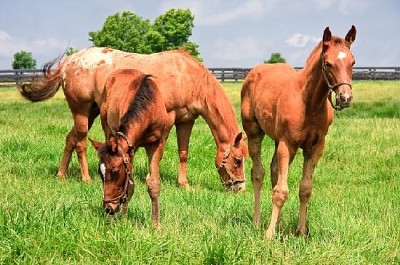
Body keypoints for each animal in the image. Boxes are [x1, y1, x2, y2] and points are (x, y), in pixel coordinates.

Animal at [21, 47, 250, 191]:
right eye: (238, 160)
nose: (240, 187)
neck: (187, 76)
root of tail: (70, 61)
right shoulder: (168, 121)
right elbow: (158, 154)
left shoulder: (186, 120)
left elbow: (183, 153)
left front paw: (184, 184)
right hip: (81, 111)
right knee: (80, 143)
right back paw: (86, 178)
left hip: (93, 112)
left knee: (70, 139)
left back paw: (61, 175)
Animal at [89, 68, 169, 227]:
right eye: (100, 173)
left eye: (115, 172)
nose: (109, 208)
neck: (149, 106)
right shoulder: (130, 147)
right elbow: (130, 185)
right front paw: (124, 219)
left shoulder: (158, 143)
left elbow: (153, 183)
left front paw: (156, 226)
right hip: (106, 126)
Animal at [241, 25, 356, 238]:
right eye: (327, 64)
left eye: (353, 62)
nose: (345, 98)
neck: (309, 102)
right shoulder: (288, 143)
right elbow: (281, 191)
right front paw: (269, 235)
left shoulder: (315, 147)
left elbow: (305, 189)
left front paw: (301, 231)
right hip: (254, 132)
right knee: (258, 173)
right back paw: (257, 221)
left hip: (278, 141)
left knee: (274, 171)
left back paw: (279, 224)